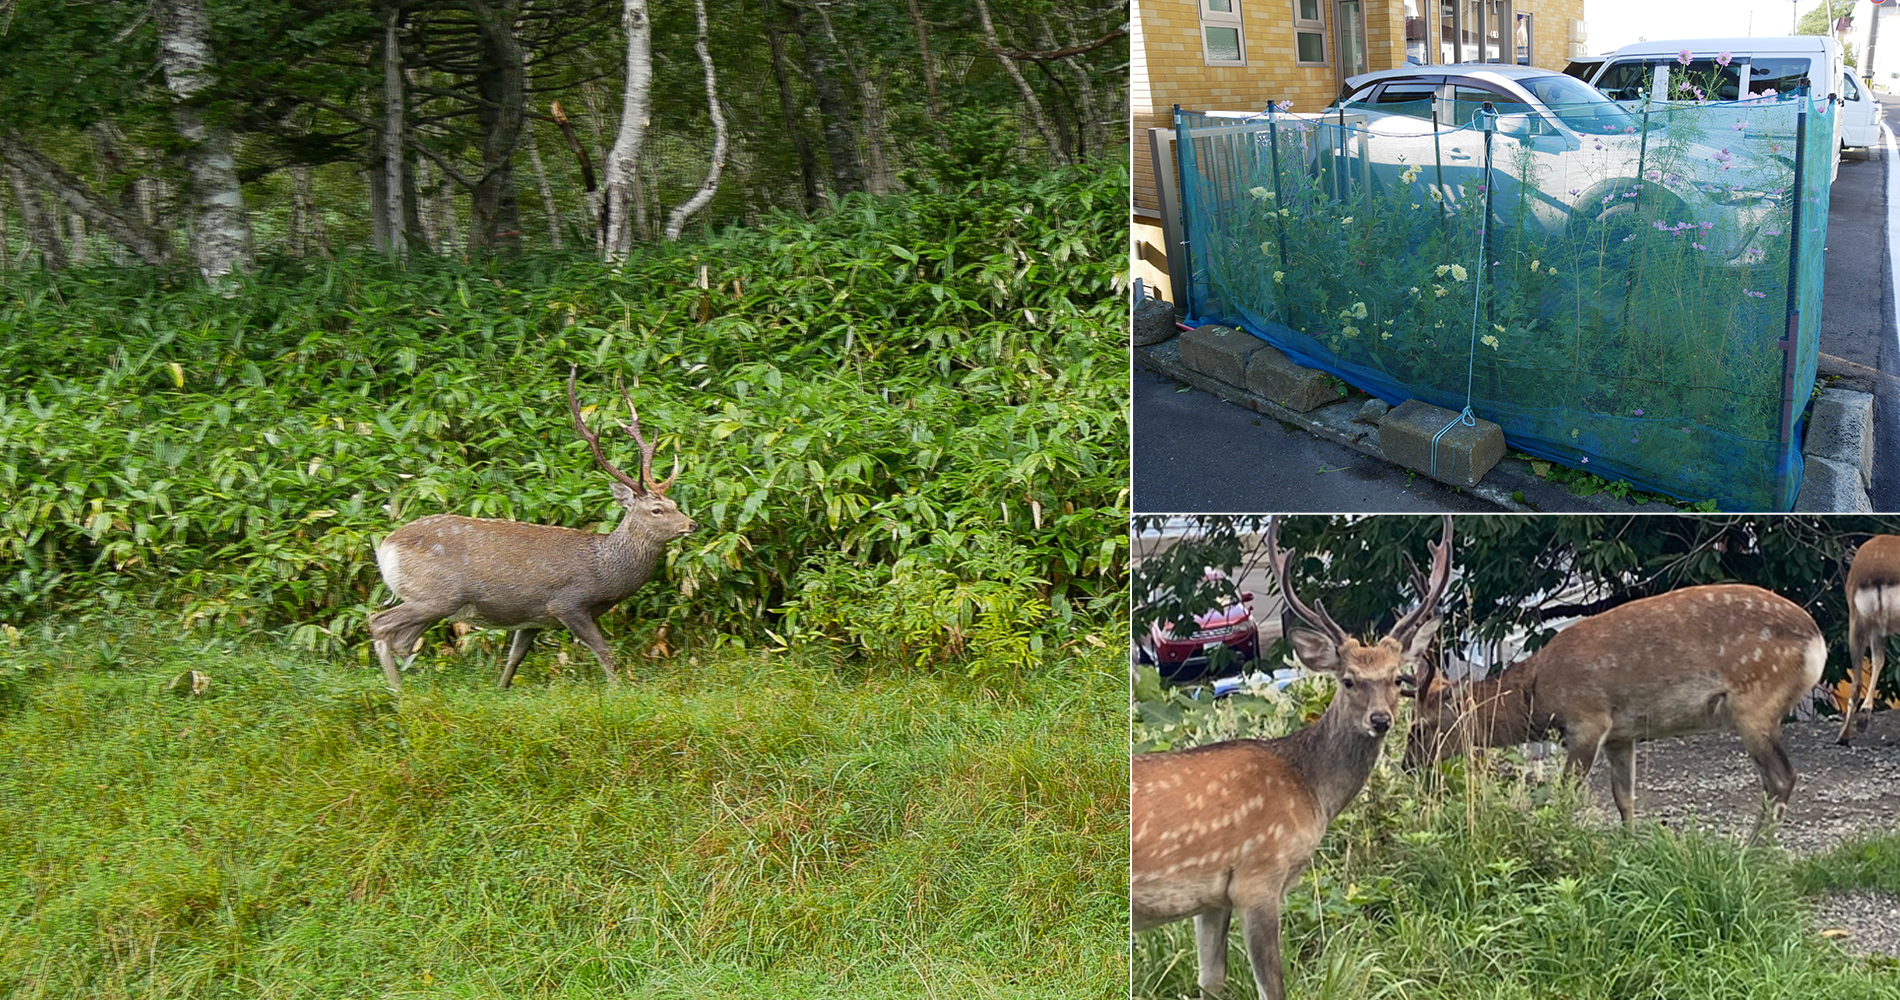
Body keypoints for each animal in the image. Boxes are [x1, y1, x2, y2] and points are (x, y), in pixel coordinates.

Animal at [362, 370, 699, 699]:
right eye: (657, 510)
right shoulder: (567, 602)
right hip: (436, 594)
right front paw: (620, 692)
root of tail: (386, 547)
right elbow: (603, 650)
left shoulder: (532, 617)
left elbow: (514, 659)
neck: (604, 572)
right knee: (379, 623)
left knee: (402, 640)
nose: (691, 524)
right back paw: (399, 693)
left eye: (673, 503)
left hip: (432, 601)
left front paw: (500, 692)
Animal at [1124, 517, 1451, 1000]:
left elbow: (1211, 981)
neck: (1309, 788)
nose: (1380, 719)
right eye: (1348, 680)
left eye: (1397, 677)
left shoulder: (1213, 898)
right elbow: (1273, 987)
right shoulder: (1259, 875)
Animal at [1398, 585, 1824, 844]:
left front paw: (1559, 841)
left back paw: (1751, 852)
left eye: (1420, 727)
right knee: (1773, 781)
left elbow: (1566, 794)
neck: (1539, 694)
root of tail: (1818, 641)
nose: (1406, 765)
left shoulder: (1588, 719)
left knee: (1781, 777)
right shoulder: (1623, 733)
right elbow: (1624, 797)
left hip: (1756, 702)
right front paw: (1629, 848)